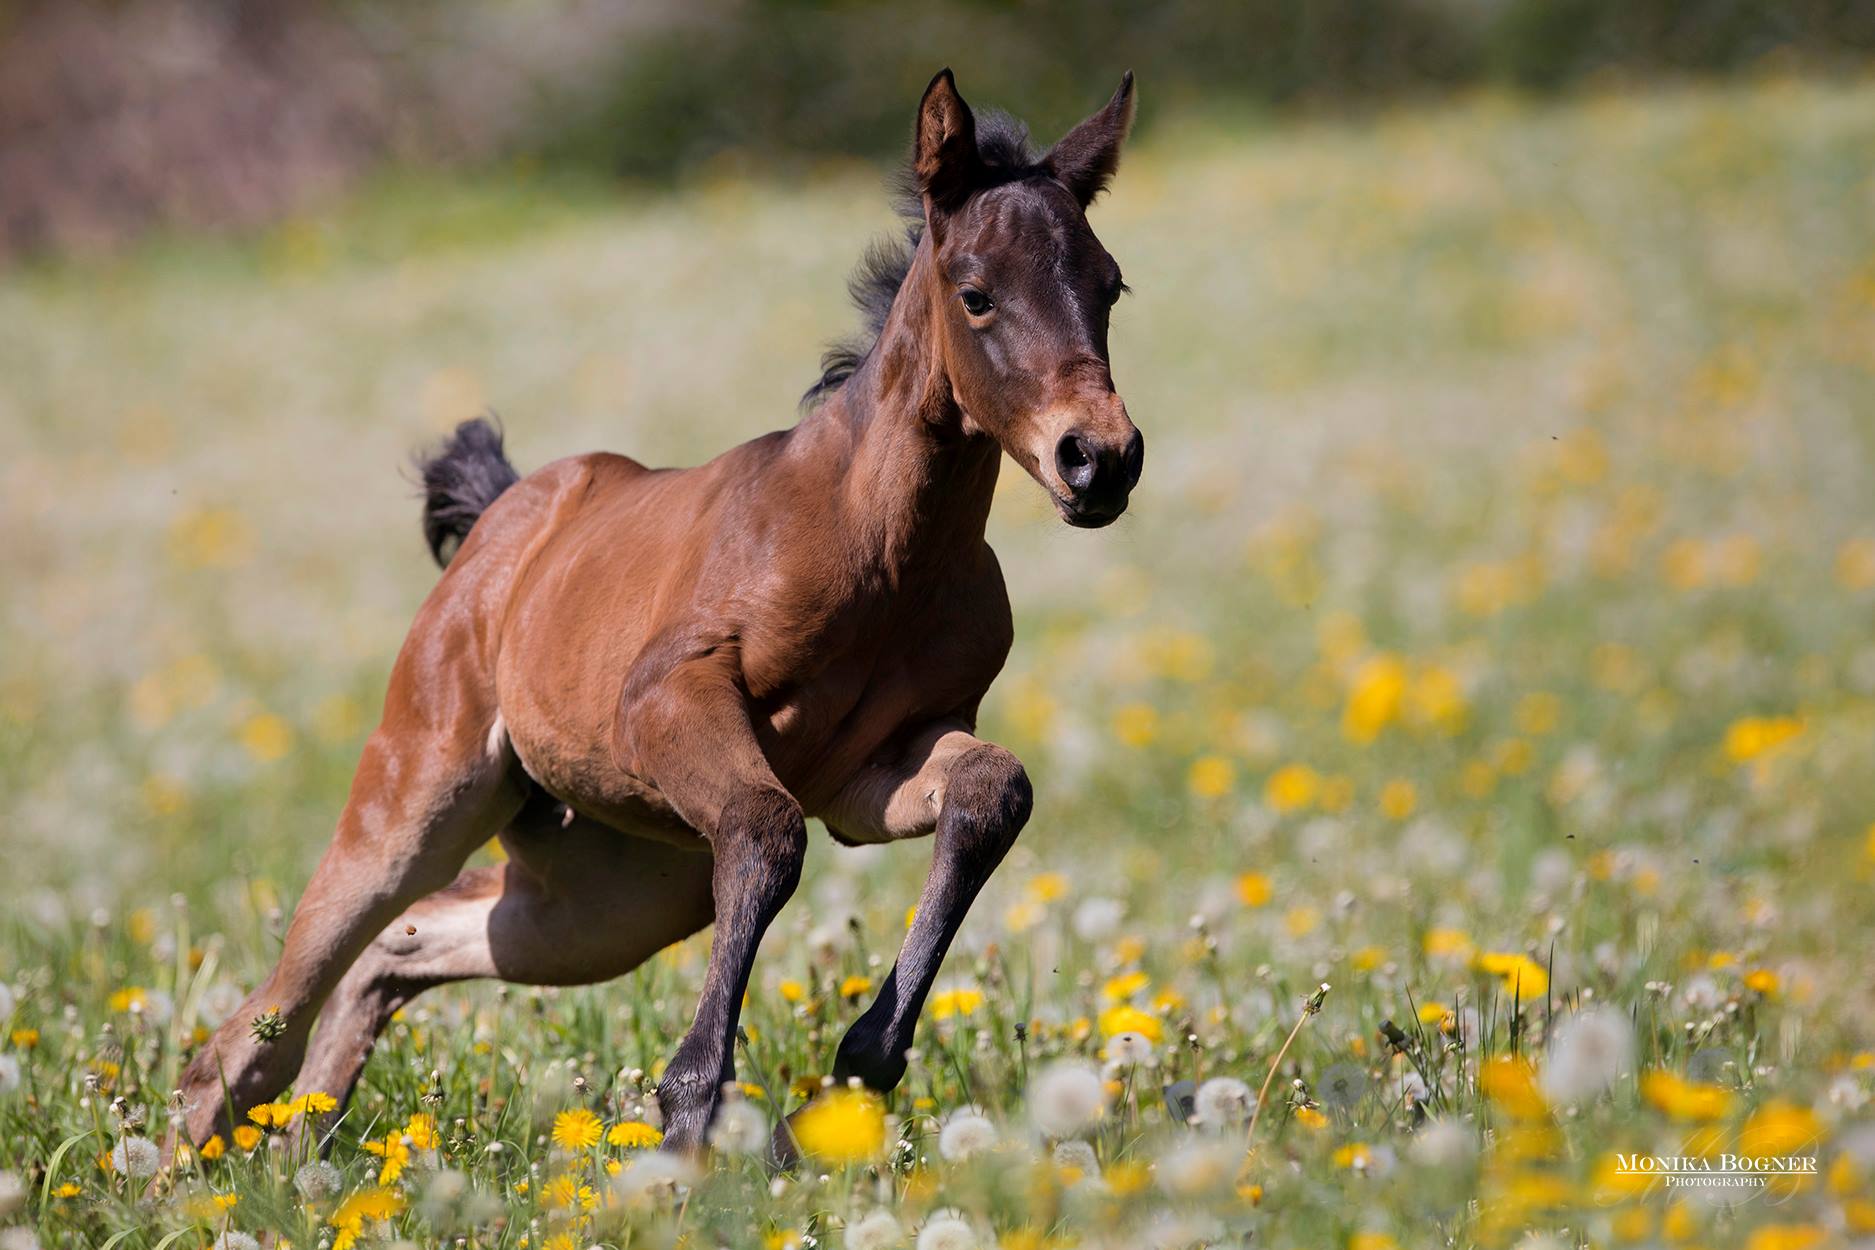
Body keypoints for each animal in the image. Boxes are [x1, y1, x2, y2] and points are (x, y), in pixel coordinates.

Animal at [179, 70, 1140, 1161]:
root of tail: (507, 513)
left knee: (404, 943)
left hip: (613, 896)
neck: (882, 551)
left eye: (1109, 286)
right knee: (266, 1013)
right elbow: (766, 833)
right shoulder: (672, 705)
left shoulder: (873, 772)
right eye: (976, 292)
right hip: (419, 799)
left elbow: (991, 791)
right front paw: (692, 1106)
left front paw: (860, 1061)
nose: (1100, 459)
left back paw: (309, 1147)